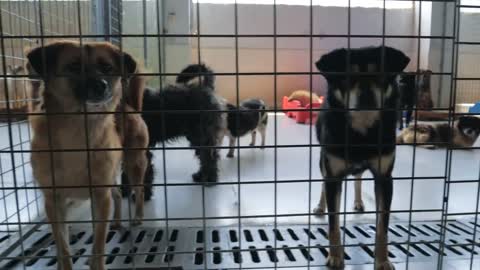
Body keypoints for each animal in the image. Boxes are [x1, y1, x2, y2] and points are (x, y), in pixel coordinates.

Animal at [27, 40, 147, 270]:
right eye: (73, 66)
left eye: (107, 68)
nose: (101, 85)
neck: (77, 133)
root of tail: (129, 107)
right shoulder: (53, 201)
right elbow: (62, 245)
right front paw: (63, 264)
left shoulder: (100, 197)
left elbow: (99, 242)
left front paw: (97, 263)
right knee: (117, 194)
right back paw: (117, 221)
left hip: (134, 164)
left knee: (139, 191)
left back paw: (137, 217)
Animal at [314, 45, 410, 268]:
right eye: (347, 77)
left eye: (381, 74)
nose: (366, 92)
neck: (362, 129)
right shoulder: (333, 175)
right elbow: (333, 223)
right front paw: (335, 256)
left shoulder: (384, 178)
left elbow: (383, 226)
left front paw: (382, 260)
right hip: (323, 162)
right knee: (323, 182)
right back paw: (320, 206)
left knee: (357, 178)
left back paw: (358, 202)